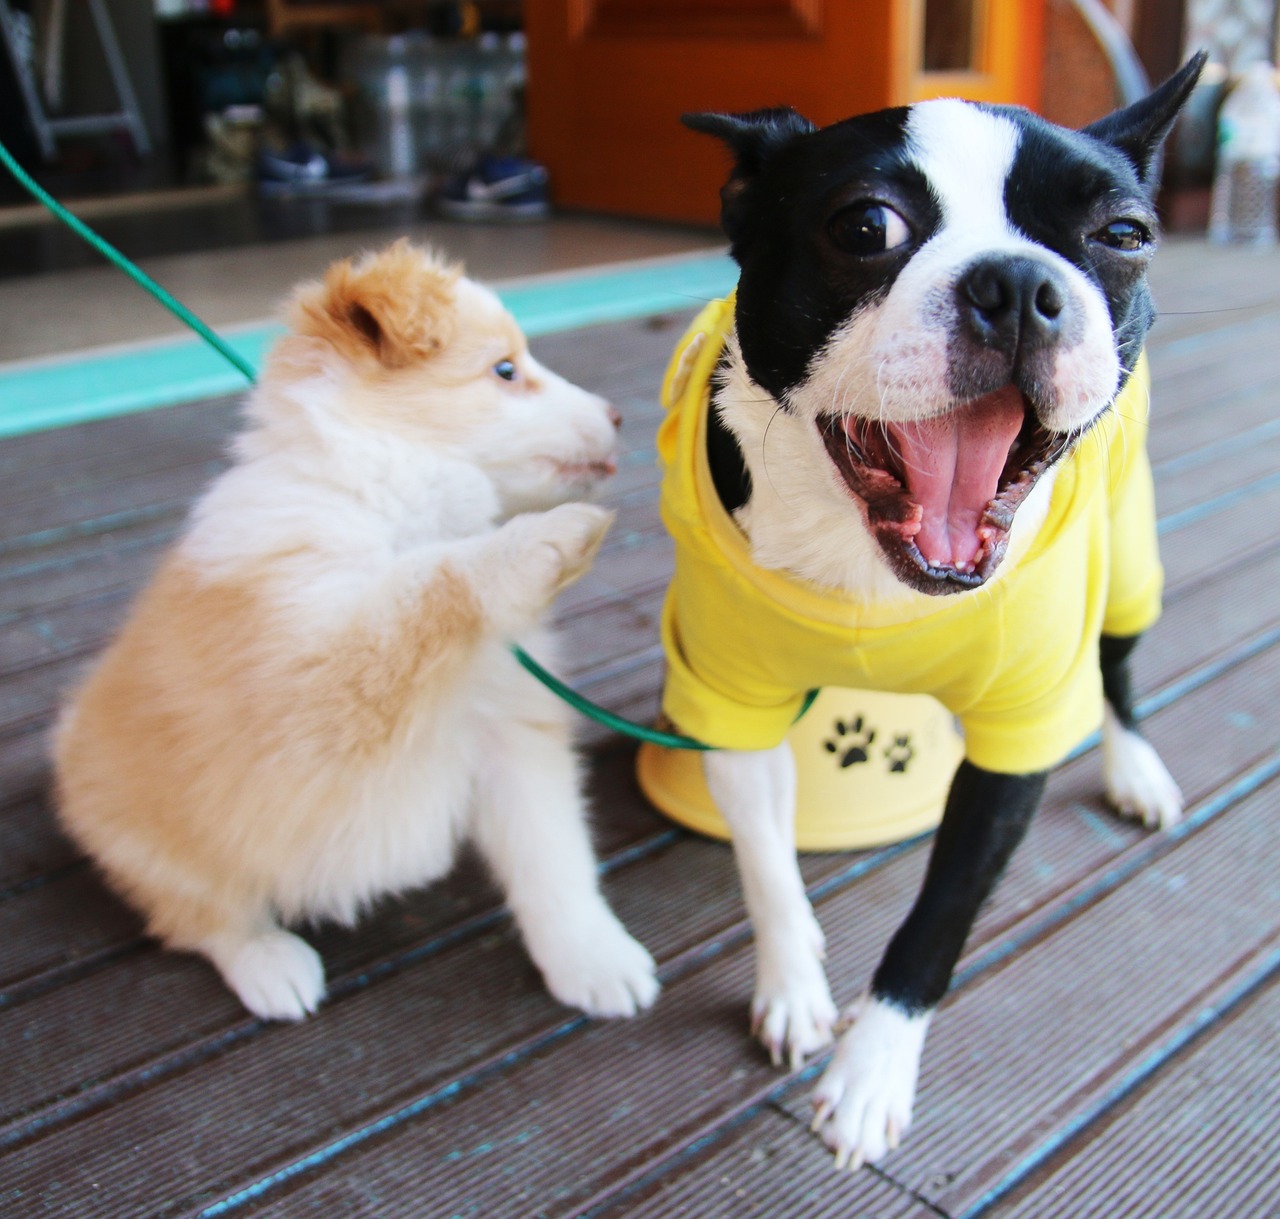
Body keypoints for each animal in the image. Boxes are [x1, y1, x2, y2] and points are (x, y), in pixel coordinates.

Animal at [52, 238, 660, 1019]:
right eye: (505, 370)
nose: (617, 415)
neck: (391, 506)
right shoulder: (309, 685)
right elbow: (422, 592)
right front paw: (542, 540)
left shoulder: (511, 731)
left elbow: (553, 857)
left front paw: (594, 962)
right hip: (152, 841)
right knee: (204, 914)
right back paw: (273, 967)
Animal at [670, 59, 1208, 1172]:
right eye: (864, 226)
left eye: (1123, 233)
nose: (1018, 285)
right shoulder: (734, 705)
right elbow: (765, 863)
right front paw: (794, 986)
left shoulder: (1017, 742)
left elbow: (937, 920)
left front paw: (871, 1071)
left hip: (1129, 557)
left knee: (1119, 669)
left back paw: (1135, 766)